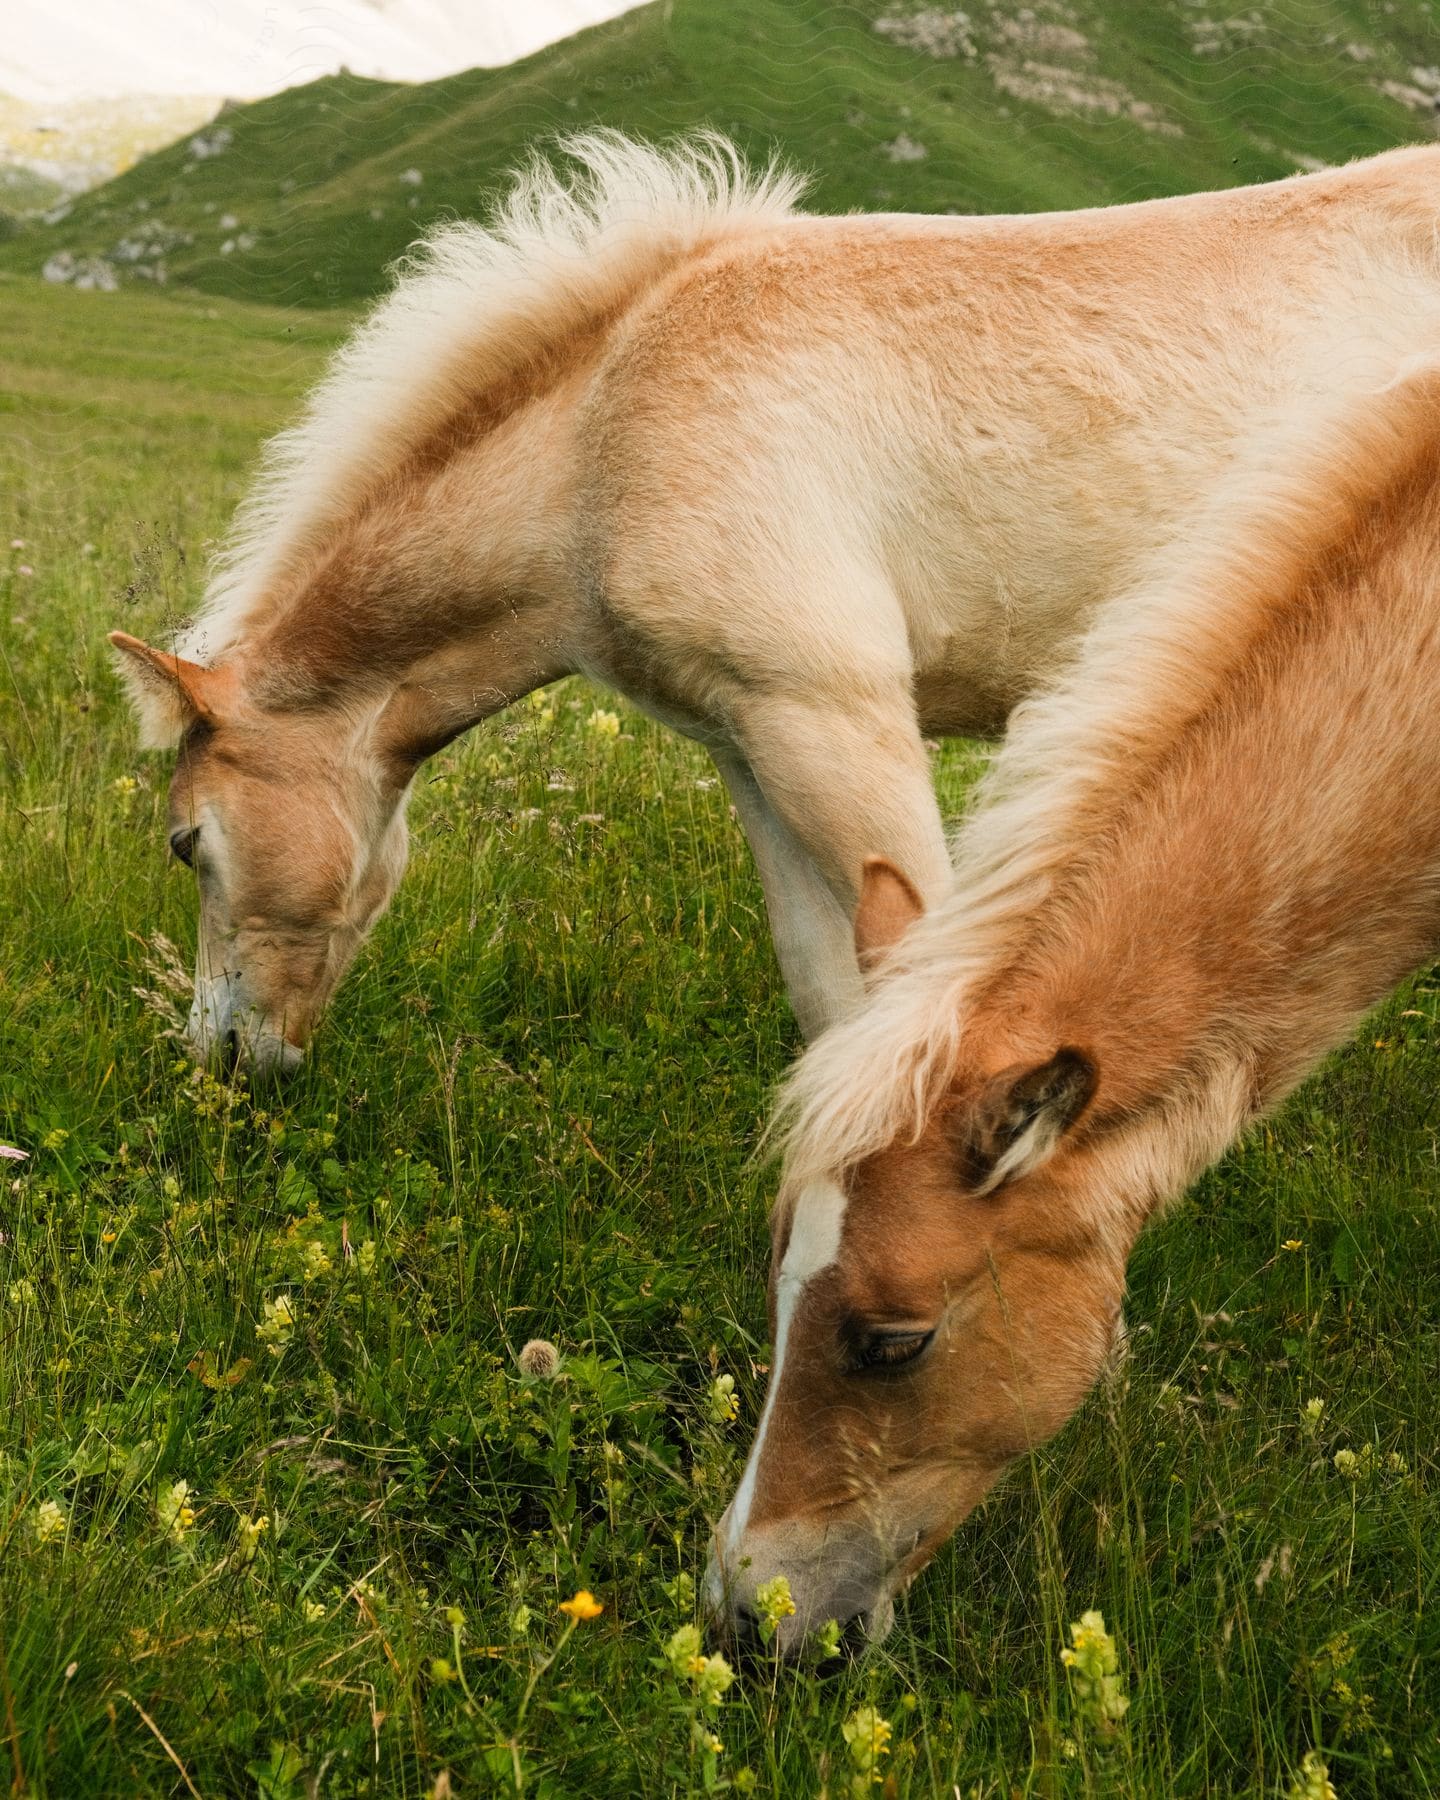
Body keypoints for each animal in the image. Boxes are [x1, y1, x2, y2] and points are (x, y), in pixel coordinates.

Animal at [112, 136, 1440, 1065]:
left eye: (188, 843)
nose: (221, 1055)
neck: (604, 433)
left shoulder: (836, 719)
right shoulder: (751, 746)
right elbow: (828, 995)